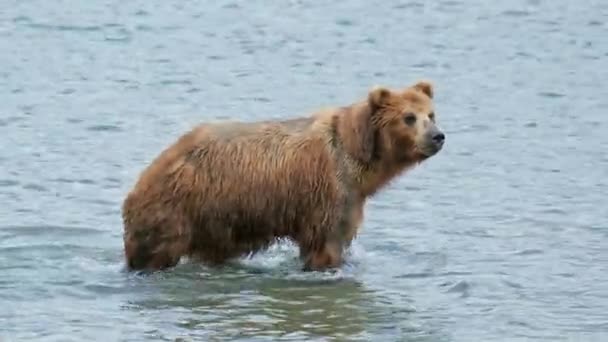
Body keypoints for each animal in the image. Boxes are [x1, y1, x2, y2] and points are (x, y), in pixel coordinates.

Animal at [122, 81, 446, 272]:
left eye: (431, 114)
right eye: (408, 117)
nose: (437, 136)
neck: (359, 157)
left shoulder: (349, 198)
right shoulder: (327, 192)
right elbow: (325, 242)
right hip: (178, 209)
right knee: (154, 251)